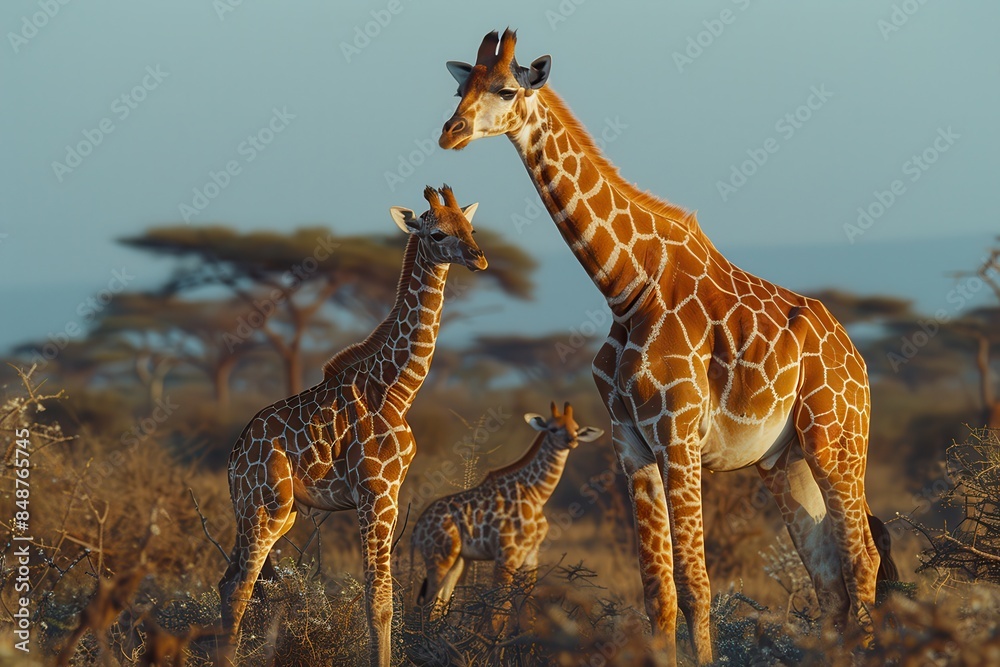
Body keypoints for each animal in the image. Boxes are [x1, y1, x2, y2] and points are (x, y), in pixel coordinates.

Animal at [218, 185, 487, 667]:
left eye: (470, 228)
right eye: (437, 233)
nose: (479, 258)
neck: (397, 387)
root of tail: (233, 458)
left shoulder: (392, 493)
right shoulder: (375, 492)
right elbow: (379, 600)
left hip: (272, 511)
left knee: (226, 582)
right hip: (266, 507)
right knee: (238, 590)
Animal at [411, 401, 603, 627]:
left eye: (576, 428)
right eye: (553, 428)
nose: (571, 441)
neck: (537, 493)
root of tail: (417, 529)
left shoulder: (531, 555)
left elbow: (526, 610)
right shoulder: (506, 556)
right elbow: (499, 611)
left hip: (457, 560)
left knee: (438, 603)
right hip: (439, 557)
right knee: (425, 604)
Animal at [437, 29, 897, 664]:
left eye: (506, 89)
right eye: (462, 85)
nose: (449, 131)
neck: (626, 287)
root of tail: (855, 356)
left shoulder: (678, 436)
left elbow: (697, 582)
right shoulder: (630, 442)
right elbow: (658, 587)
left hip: (838, 440)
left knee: (863, 559)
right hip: (785, 461)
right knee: (828, 575)